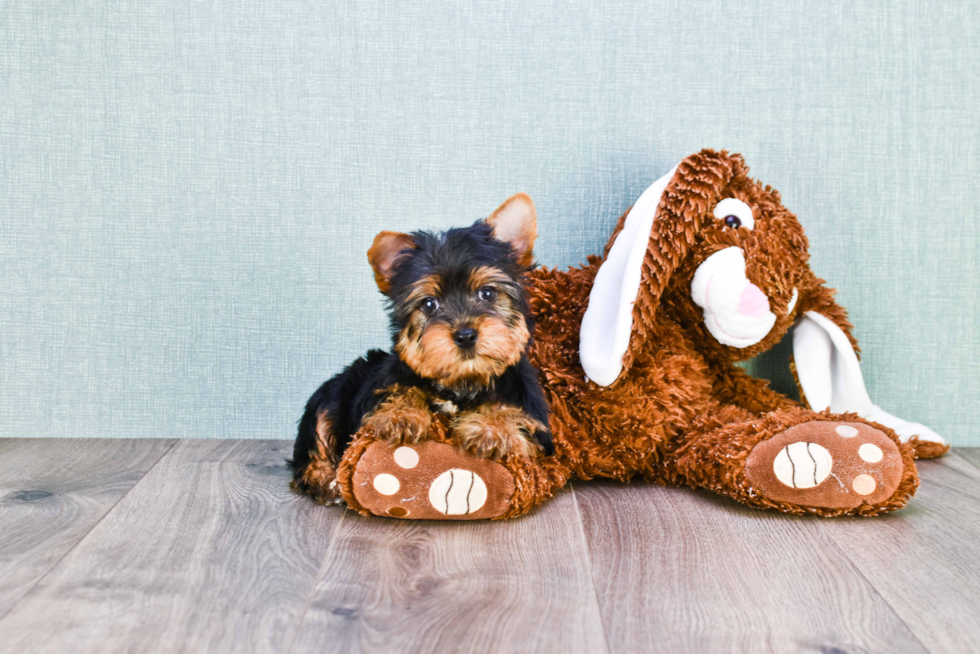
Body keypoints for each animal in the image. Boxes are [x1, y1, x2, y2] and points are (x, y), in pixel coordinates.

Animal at [290, 192, 552, 504]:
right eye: (429, 304)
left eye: (487, 293)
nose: (465, 334)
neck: (461, 383)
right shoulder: (376, 391)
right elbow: (398, 389)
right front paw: (402, 414)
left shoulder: (534, 417)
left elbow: (515, 416)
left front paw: (490, 428)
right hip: (335, 392)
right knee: (315, 439)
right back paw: (324, 480)